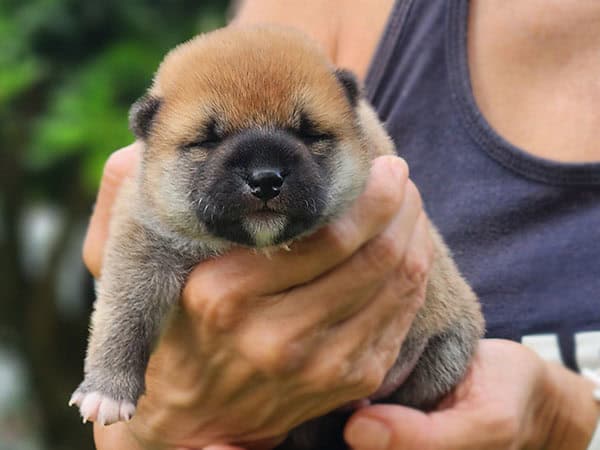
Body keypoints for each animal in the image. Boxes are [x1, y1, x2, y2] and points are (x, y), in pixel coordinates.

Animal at [70, 25, 486, 450]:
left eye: (309, 132)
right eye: (207, 140)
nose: (266, 178)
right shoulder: (144, 236)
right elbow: (125, 312)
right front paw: (107, 389)